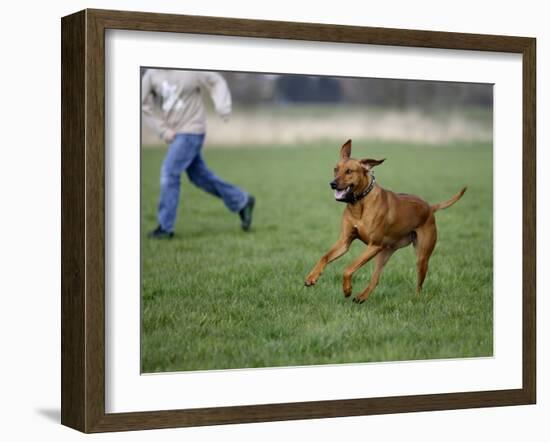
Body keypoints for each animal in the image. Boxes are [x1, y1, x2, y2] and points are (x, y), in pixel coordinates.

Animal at [306, 141, 466, 304]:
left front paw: (347, 289)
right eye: (335, 169)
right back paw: (361, 297)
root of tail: (430, 207)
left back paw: (415, 299)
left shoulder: (374, 245)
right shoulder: (345, 241)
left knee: (419, 284)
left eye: (349, 171)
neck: (359, 203)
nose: (332, 183)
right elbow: (324, 257)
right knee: (375, 279)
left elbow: (348, 268)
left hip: (421, 256)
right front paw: (312, 277)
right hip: (384, 252)